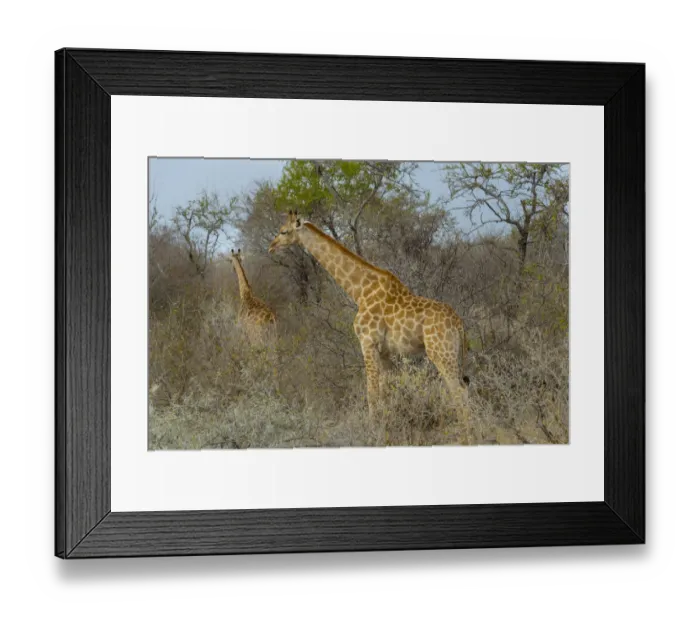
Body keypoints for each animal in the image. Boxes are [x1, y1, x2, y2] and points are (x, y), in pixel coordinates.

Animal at [268, 211, 471, 419]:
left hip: (441, 352)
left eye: (283, 231)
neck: (360, 291)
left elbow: (372, 395)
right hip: (452, 353)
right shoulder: (385, 352)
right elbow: (386, 392)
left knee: (458, 392)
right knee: (463, 390)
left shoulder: (367, 343)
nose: (271, 246)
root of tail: (459, 323)